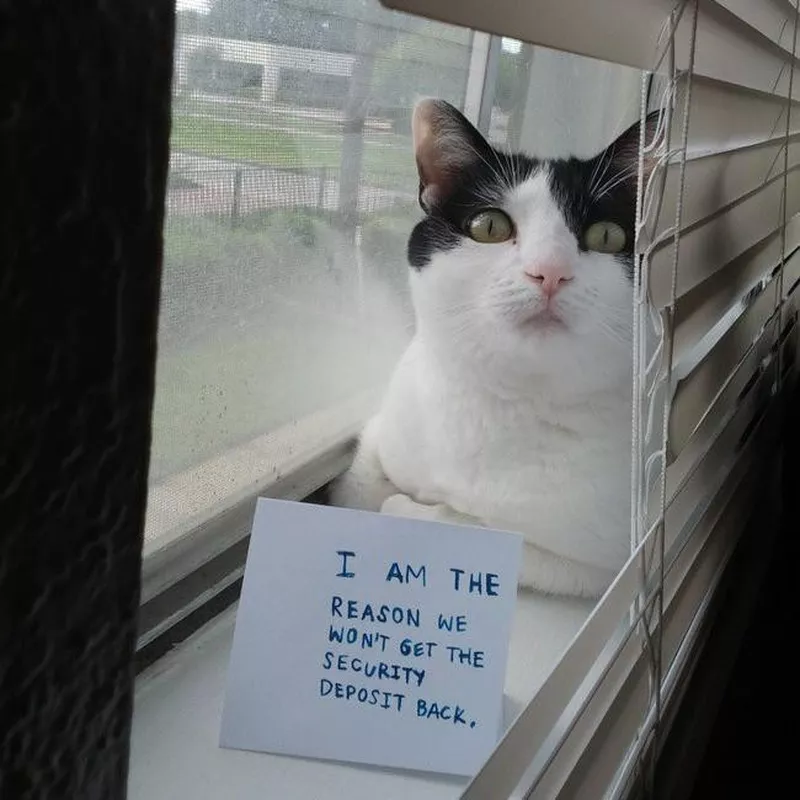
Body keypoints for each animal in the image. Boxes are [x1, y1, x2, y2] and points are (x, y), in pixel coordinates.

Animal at [332, 98, 656, 600]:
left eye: (606, 236)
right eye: (489, 226)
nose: (550, 272)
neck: (504, 401)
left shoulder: (602, 563)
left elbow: (467, 528)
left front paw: (408, 509)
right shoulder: (386, 424)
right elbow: (359, 479)